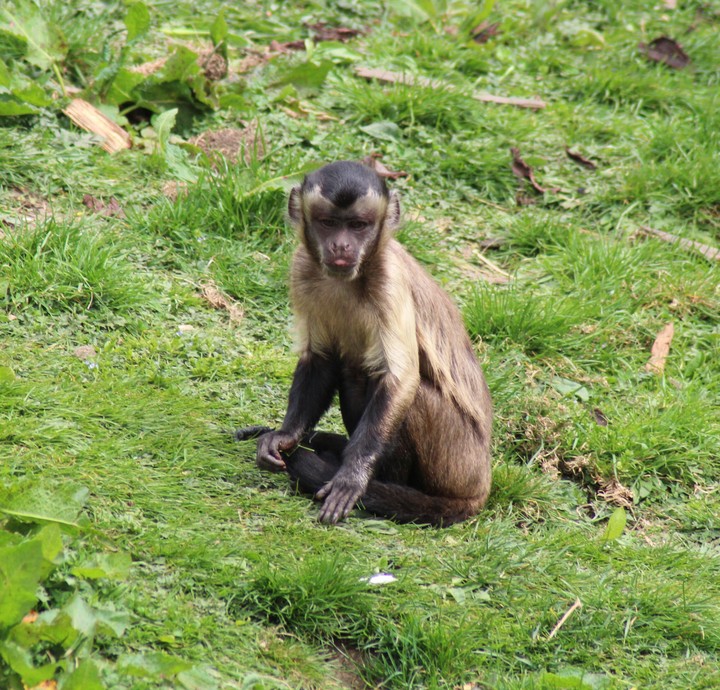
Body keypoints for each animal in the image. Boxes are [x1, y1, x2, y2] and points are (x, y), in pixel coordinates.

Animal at [236, 160, 492, 526]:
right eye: (329, 223)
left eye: (358, 226)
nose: (342, 246)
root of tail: (480, 486)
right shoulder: (301, 269)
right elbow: (320, 358)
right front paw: (286, 436)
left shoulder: (390, 281)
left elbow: (400, 381)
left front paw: (352, 475)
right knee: (352, 371)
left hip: (455, 460)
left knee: (398, 386)